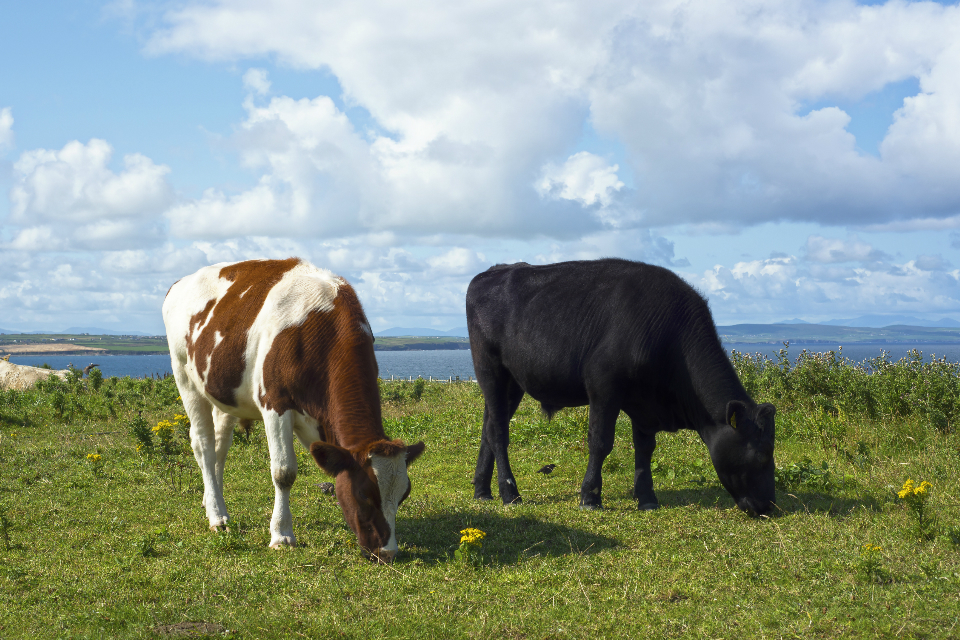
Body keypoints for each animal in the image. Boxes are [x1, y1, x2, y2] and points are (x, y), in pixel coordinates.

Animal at [163, 258, 425, 561]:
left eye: (404, 495)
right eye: (364, 494)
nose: (387, 552)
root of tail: (179, 283)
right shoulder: (275, 404)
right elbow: (284, 472)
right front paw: (281, 534)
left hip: (224, 391)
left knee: (220, 445)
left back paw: (213, 501)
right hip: (185, 377)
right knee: (203, 445)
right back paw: (217, 517)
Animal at [466, 259, 776, 516]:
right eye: (763, 454)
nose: (770, 506)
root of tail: (492, 271)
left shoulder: (645, 403)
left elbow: (645, 448)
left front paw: (647, 498)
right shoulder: (603, 386)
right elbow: (601, 442)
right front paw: (590, 497)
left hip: (513, 383)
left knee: (488, 429)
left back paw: (482, 490)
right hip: (490, 371)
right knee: (498, 432)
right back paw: (510, 493)